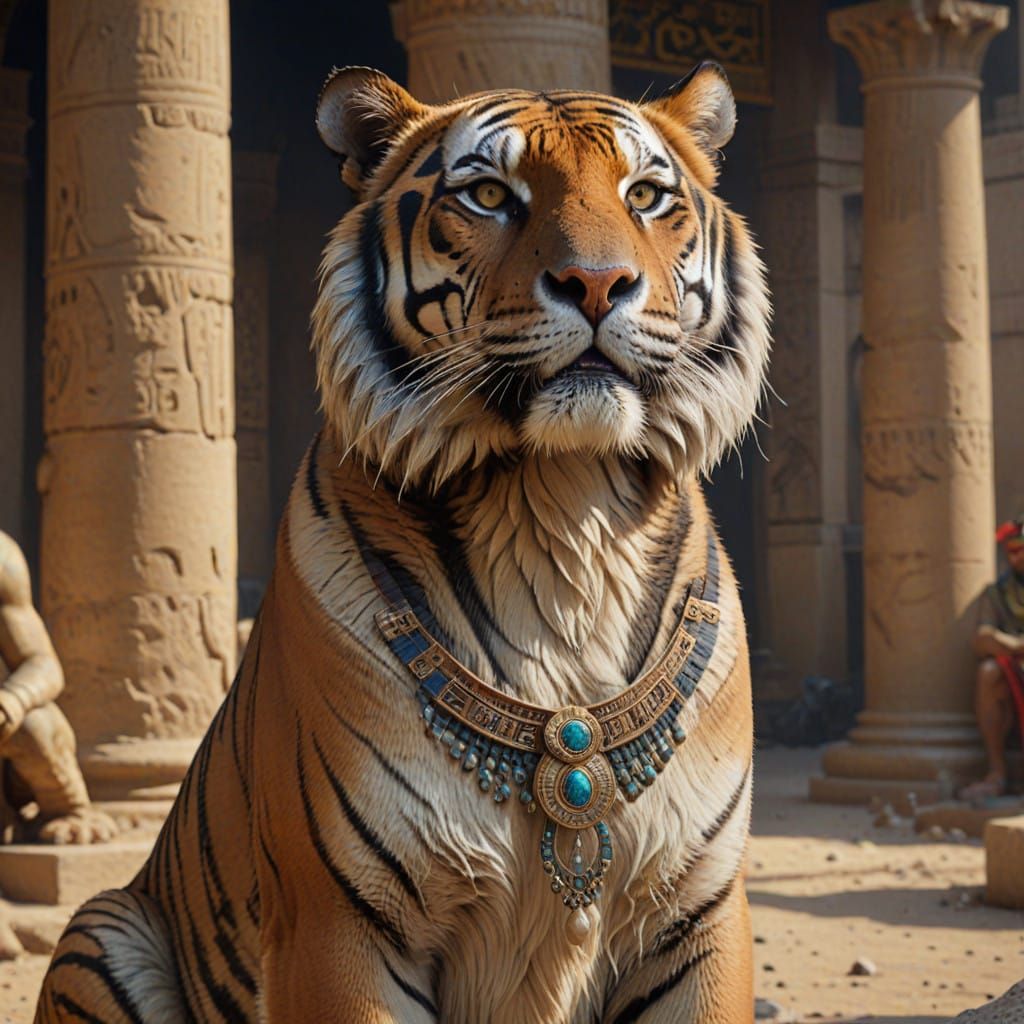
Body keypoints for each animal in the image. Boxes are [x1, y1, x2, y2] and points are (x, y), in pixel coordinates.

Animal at [36, 61, 771, 1023]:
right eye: (490, 195)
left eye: (646, 196)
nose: (599, 283)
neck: (563, 517)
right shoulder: (342, 922)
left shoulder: (696, 910)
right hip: (102, 925)